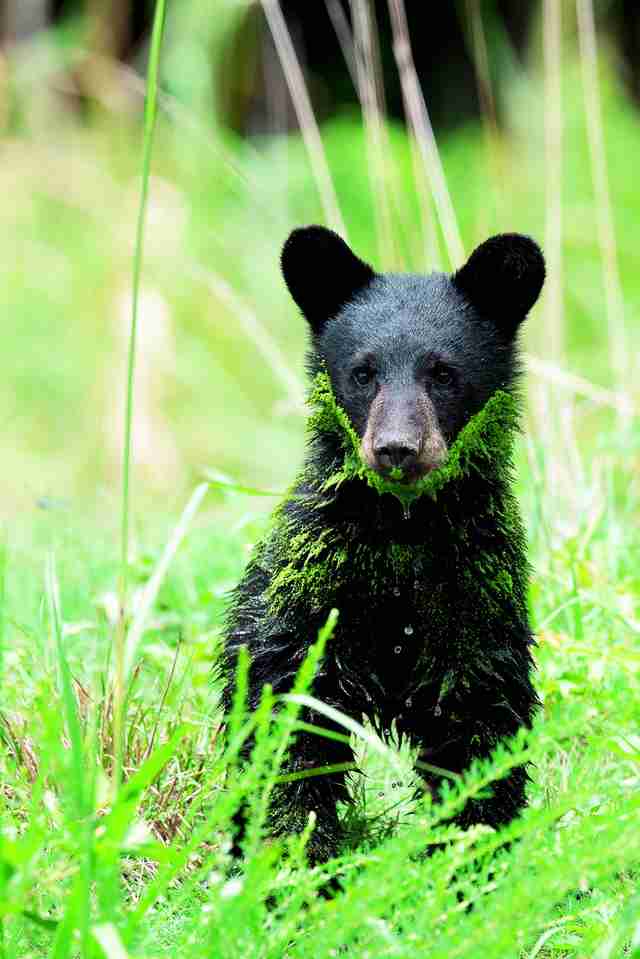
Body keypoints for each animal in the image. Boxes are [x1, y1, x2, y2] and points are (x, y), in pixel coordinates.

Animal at [224, 225, 544, 864]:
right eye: (363, 372)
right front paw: (297, 857)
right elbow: (285, 716)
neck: (402, 533)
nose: (397, 448)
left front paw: (472, 855)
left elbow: (482, 721)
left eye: (443, 373)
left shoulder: (475, 595)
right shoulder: (312, 594)